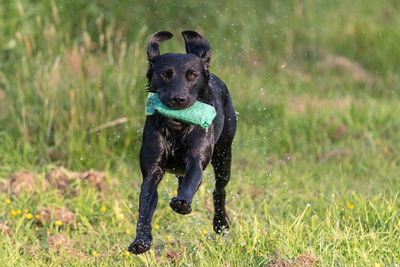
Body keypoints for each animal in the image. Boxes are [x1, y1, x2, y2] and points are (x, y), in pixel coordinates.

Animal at [128, 30, 236, 254]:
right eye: (165, 74)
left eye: (192, 75)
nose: (178, 99)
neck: (177, 131)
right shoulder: (152, 170)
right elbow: (145, 206)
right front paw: (140, 240)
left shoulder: (196, 159)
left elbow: (191, 180)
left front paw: (182, 203)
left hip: (224, 156)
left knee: (219, 190)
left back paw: (220, 222)